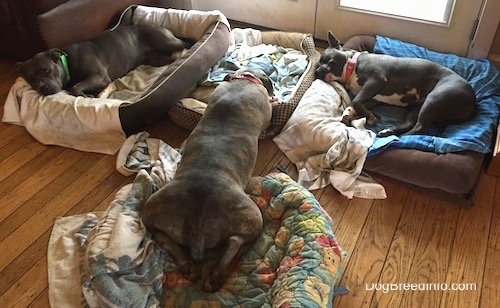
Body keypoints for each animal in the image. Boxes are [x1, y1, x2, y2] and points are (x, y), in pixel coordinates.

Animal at [16, 23, 188, 96]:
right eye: (30, 79)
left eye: (47, 70)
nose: (42, 88)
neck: (67, 64)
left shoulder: (98, 76)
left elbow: (76, 88)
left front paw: (85, 95)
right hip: (155, 58)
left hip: (165, 42)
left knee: (185, 43)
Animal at [316, 31, 476, 137]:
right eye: (319, 62)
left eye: (329, 62)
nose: (316, 72)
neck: (352, 65)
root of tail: (473, 102)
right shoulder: (373, 97)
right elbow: (357, 103)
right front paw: (349, 113)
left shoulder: (376, 80)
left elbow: (356, 100)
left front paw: (370, 117)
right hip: (418, 107)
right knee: (411, 123)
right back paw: (389, 131)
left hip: (434, 99)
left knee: (420, 127)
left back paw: (399, 137)